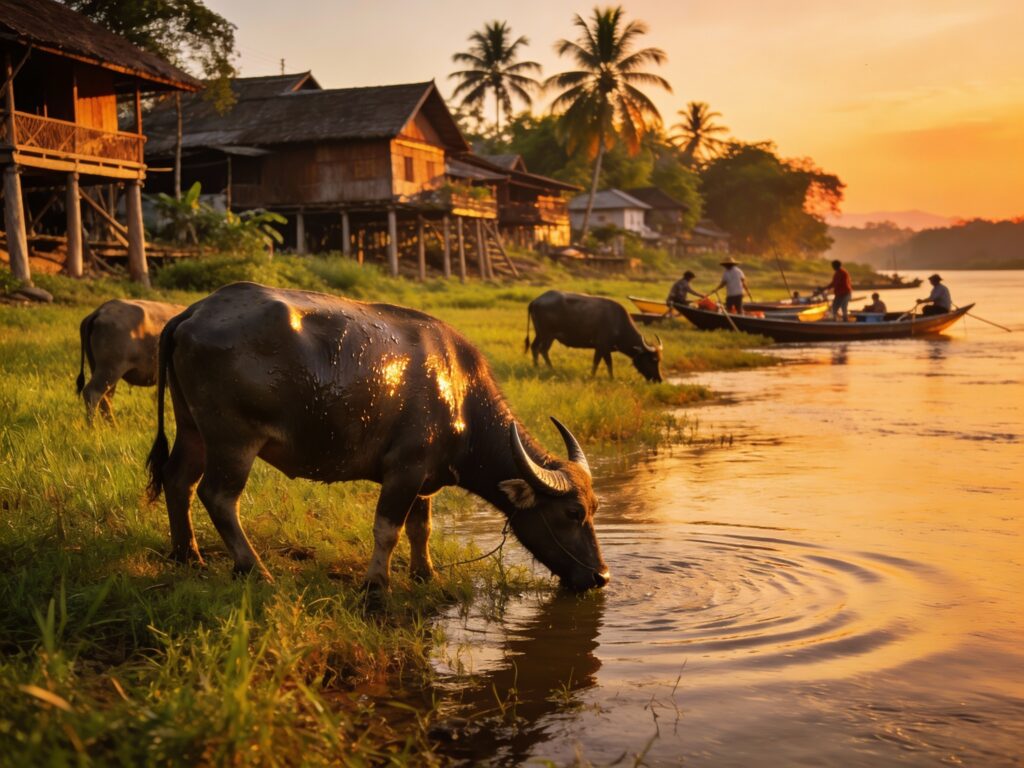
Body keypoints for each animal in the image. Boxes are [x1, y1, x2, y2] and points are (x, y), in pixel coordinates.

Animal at [146, 282, 610, 592]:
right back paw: (253, 568)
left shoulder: (424, 477)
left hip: (193, 429)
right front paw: (376, 586)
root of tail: (194, 312)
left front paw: (425, 573)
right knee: (219, 496)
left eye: (595, 509)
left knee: (178, 479)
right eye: (572, 513)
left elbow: (421, 527)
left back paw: (188, 555)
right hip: (233, 440)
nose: (600, 575)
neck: (461, 397)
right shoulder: (403, 470)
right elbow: (388, 528)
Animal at [525, 290, 663, 381]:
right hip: (545, 334)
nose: (659, 379)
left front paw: (608, 377)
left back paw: (543, 368)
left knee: (538, 348)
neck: (618, 323)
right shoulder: (602, 346)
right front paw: (596, 377)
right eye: (653, 359)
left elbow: (605, 363)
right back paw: (545, 368)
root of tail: (536, 301)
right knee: (539, 349)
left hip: (545, 335)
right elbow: (600, 362)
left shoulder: (604, 349)